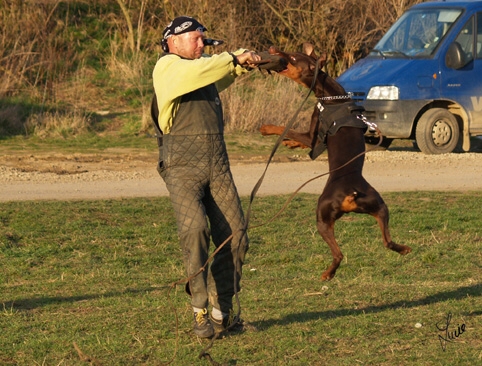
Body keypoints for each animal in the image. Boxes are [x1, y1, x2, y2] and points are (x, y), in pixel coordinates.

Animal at [260, 44, 410, 282]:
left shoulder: (314, 132)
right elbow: (297, 139)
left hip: (321, 216)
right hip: (379, 206)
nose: (273, 48)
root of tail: (349, 195)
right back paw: (404, 249)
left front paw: (268, 129)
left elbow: (288, 130)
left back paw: (327, 274)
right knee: (386, 241)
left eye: (292, 58)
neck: (331, 94)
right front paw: (291, 144)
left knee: (338, 254)